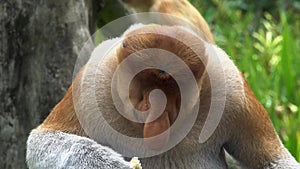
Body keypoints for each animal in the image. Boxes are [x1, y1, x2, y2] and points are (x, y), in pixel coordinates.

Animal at [27, 24, 298, 169]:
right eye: (145, 80)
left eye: (173, 85)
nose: (155, 111)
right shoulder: (92, 82)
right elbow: (43, 141)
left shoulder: (231, 88)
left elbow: (273, 160)